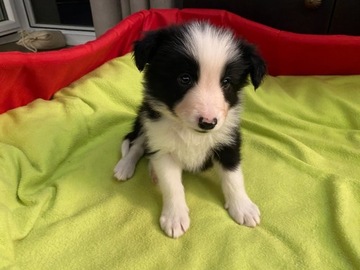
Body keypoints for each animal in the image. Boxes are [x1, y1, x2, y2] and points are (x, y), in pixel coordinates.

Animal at [114, 21, 266, 238]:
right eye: (184, 79)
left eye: (226, 82)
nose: (208, 123)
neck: (189, 131)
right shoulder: (162, 146)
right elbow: (172, 186)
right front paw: (174, 217)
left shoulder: (228, 141)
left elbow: (233, 177)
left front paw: (243, 207)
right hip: (144, 120)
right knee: (136, 146)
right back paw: (125, 166)